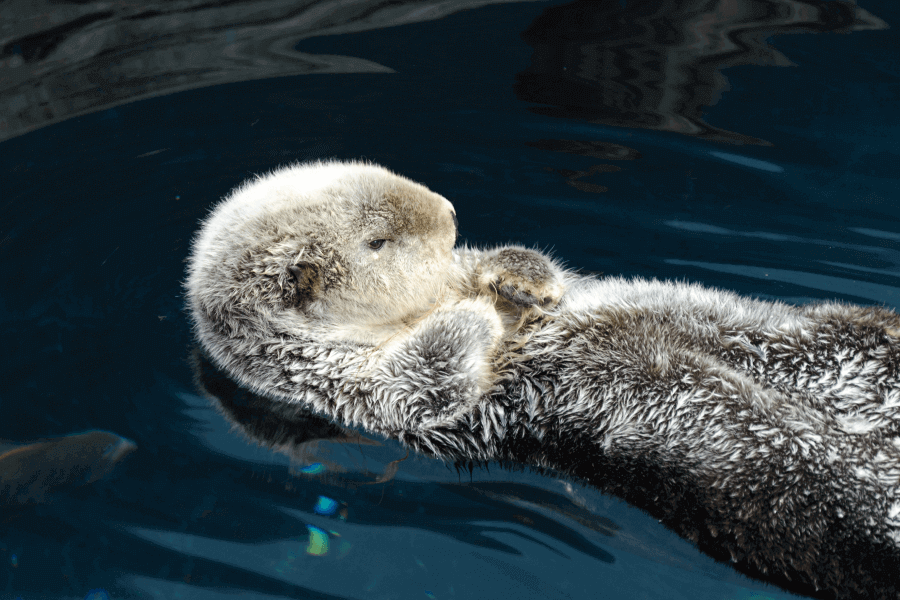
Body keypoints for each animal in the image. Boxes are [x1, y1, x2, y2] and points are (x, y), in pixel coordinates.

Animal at [185, 160, 900, 600]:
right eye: (377, 241)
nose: (449, 211)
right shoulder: (335, 387)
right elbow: (423, 382)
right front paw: (472, 316)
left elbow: (511, 272)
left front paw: (517, 279)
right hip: (791, 487)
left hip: (828, 337)